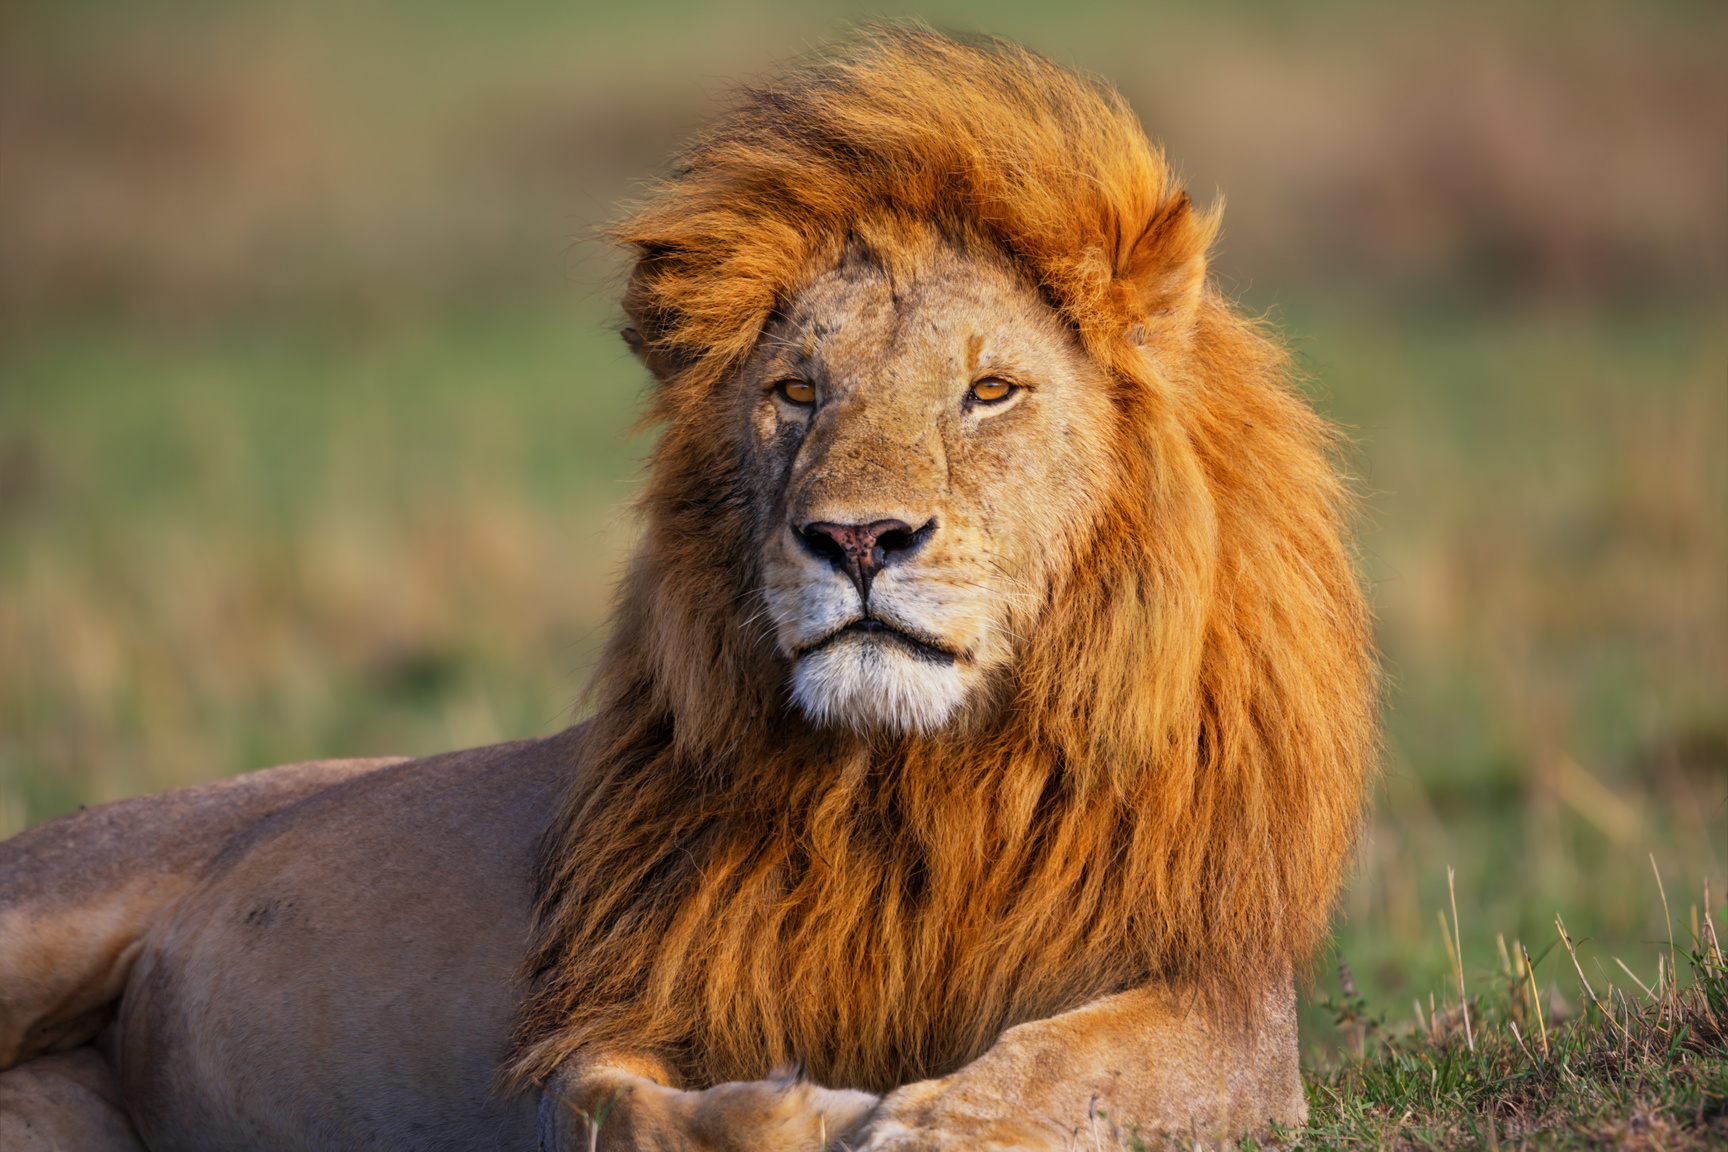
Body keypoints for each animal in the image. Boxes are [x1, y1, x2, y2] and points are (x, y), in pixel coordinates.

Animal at [0, 26, 1375, 1152]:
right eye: (796, 392)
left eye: (989, 392)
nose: (858, 538)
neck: (913, 786)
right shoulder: (605, 1005)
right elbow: (620, 1106)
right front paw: (808, 1112)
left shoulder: (1221, 999)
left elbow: (1072, 1068)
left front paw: (927, 1124)